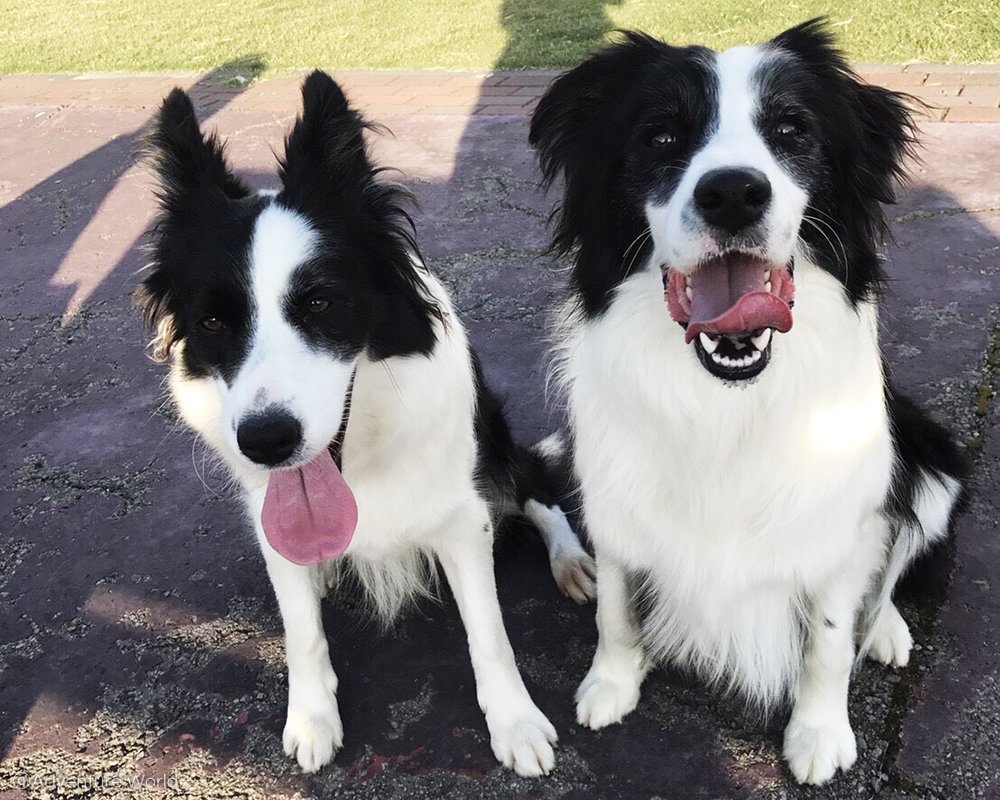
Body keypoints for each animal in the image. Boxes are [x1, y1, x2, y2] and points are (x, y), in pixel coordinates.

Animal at [137, 73, 596, 776]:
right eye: (213, 321)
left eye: (320, 302)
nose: (266, 441)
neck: (357, 465)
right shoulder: (271, 521)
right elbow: (300, 631)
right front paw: (312, 717)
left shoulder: (462, 517)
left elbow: (488, 631)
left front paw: (516, 723)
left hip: (494, 441)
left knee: (539, 494)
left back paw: (571, 562)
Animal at [532, 18, 968, 788]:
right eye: (661, 136)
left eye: (792, 129)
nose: (733, 193)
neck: (725, 402)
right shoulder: (613, 495)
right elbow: (616, 606)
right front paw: (611, 684)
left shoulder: (838, 518)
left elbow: (829, 637)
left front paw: (819, 734)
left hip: (933, 459)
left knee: (896, 557)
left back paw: (885, 630)